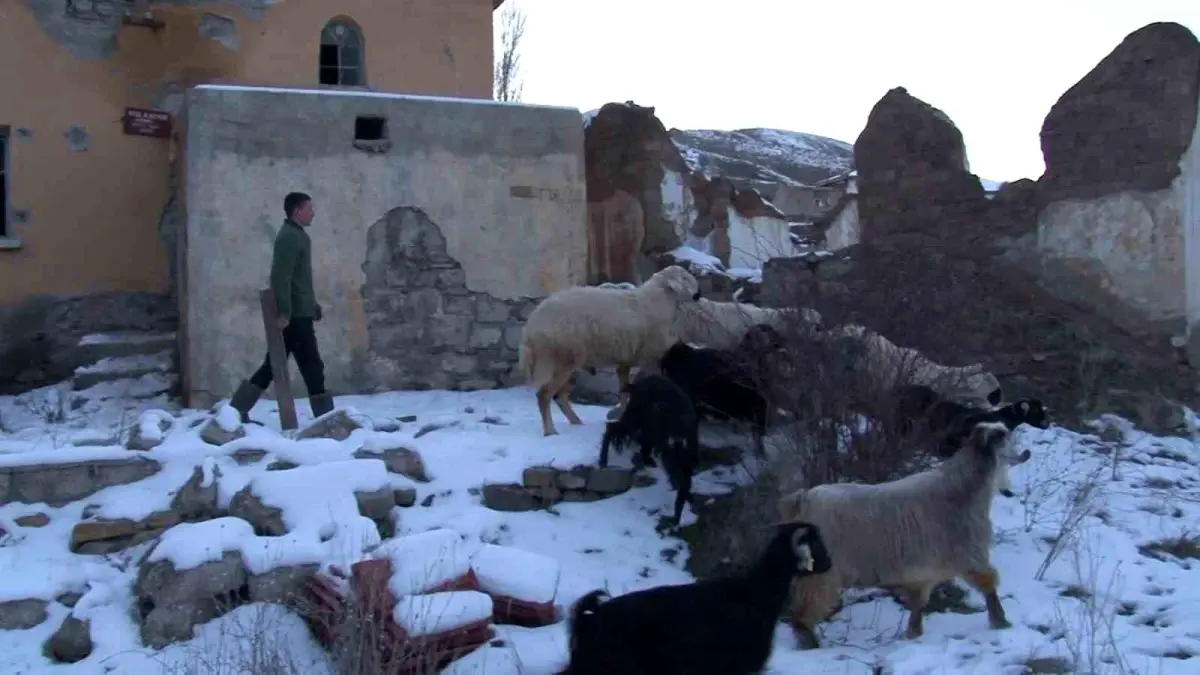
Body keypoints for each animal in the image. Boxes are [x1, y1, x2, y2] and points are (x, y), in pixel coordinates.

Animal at [518, 263, 700, 437]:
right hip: (560, 355)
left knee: (559, 396)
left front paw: (620, 414)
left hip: (567, 359)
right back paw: (550, 431)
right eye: (685, 277)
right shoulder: (649, 355)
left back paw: (576, 422)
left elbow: (626, 389)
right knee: (544, 394)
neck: (658, 301)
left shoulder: (626, 359)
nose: (698, 295)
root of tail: (530, 328)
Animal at [600, 372, 700, 526]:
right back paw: (603, 460)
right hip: (634, 418)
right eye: (671, 463)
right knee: (612, 428)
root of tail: (638, 384)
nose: (675, 480)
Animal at [777, 420, 1022, 648]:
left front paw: (913, 632)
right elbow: (988, 583)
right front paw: (1001, 621)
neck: (965, 490)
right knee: (806, 605)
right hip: (820, 572)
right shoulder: (969, 552)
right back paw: (810, 642)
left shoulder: (924, 569)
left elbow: (919, 600)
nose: (1025, 453)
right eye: (1004, 438)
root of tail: (803, 499)